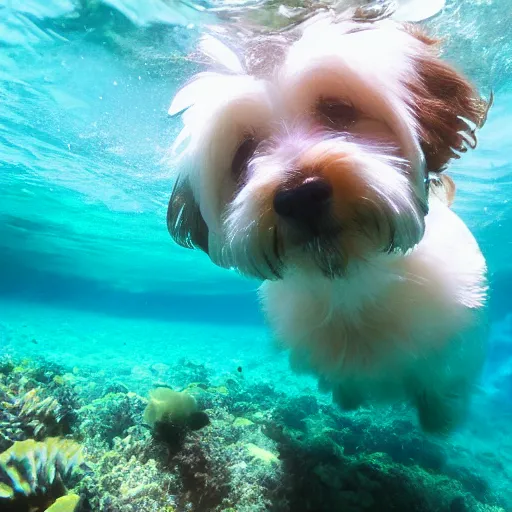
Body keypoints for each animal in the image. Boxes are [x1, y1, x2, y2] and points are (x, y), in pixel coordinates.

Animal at [167, 5, 492, 436]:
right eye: (244, 151)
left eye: (339, 110)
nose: (300, 196)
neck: (350, 282)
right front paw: (347, 398)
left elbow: (440, 392)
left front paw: (438, 419)